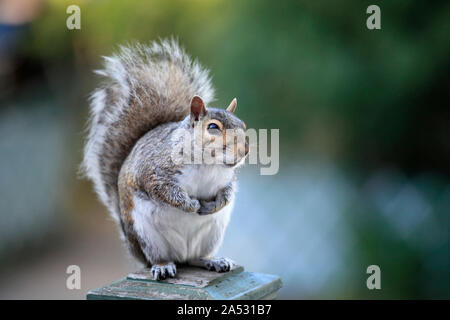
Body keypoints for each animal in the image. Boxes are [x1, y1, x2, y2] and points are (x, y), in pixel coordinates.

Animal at [81, 38, 250, 280]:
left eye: (243, 125)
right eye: (212, 127)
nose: (244, 150)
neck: (208, 165)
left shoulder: (228, 179)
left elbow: (227, 193)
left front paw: (213, 205)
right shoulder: (154, 171)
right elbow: (164, 191)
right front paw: (190, 204)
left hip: (211, 235)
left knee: (195, 258)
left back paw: (213, 261)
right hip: (146, 235)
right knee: (159, 257)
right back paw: (163, 266)